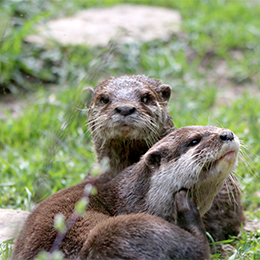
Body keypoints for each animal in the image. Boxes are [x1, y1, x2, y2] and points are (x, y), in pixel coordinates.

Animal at [12, 126, 240, 260]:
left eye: (216, 127)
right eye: (194, 141)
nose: (227, 134)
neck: (137, 200)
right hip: (130, 229)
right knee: (198, 248)